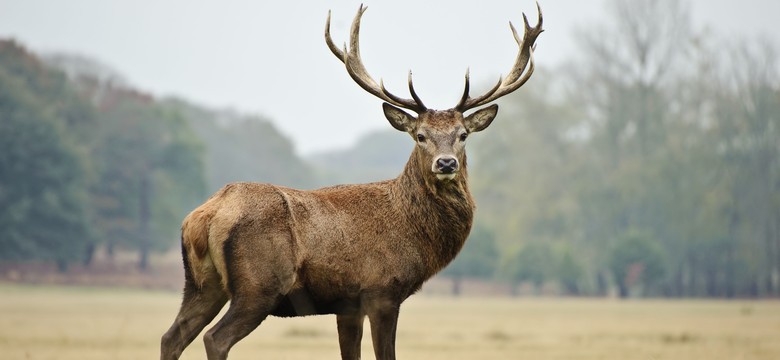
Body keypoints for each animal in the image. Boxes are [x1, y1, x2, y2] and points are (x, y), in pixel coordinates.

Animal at [161, 3, 544, 360]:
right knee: (215, 338)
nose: (446, 162)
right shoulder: (381, 291)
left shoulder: (347, 306)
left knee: (171, 336)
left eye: (463, 134)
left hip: (201, 284)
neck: (413, 232)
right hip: (258, 286)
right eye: (420, 135)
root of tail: (205, 215)